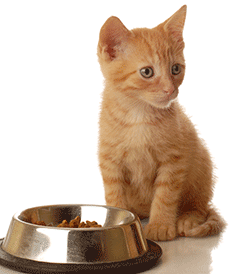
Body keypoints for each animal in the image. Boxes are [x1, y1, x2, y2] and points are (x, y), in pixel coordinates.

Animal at [96, 4, 226, 240]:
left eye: (176, 69)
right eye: (147, 72)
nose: (170, 90)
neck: (138, 115)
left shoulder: (174, 160)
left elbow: (165, 195)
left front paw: (160, 225)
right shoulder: (110, 160)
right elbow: (114, 195)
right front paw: (115, 222)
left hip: (202, 163)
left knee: (201, 206)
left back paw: (187, 218)